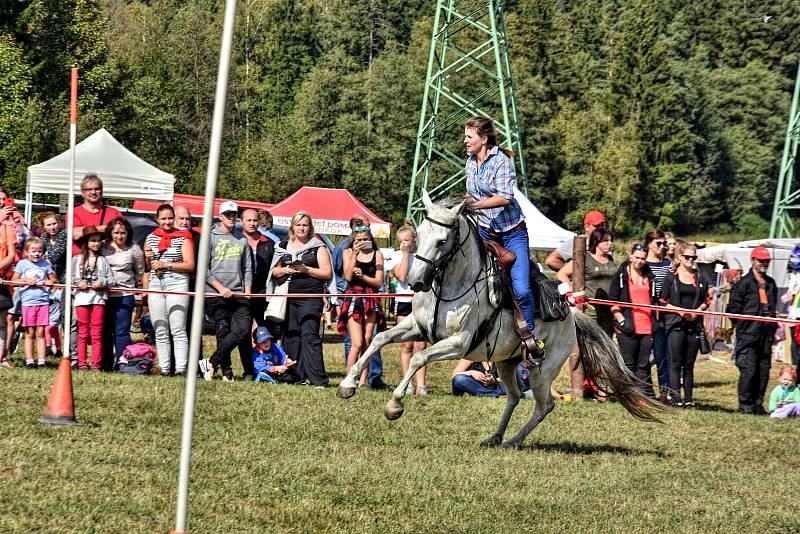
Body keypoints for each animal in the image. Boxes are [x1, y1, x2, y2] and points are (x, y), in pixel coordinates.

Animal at [334, 191, 660, 450]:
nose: (415, 281)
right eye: (418, 235)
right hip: (506, 362)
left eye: (442, 240)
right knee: (514, 396)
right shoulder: (417, 327)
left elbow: (417, 359)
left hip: (543, 370)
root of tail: (572, 313)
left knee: (544, 405)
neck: (453, 285)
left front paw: (394, 405)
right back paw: (495, 437)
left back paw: (514, 441)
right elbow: (379, 338)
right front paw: (348, 385)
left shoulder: (457, 343)